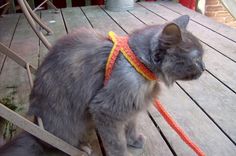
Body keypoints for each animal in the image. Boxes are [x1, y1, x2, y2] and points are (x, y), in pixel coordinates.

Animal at [0, 14, 204, 156]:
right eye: (196, 59)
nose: (204, 67)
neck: (137, 63)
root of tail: (35, 130)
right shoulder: (106, 109)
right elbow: (117, 143)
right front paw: (123, 151)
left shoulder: (133, 105)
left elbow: (131, 125)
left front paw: (133, 139)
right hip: (68, 123)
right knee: (57, 144)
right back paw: (82, 147)